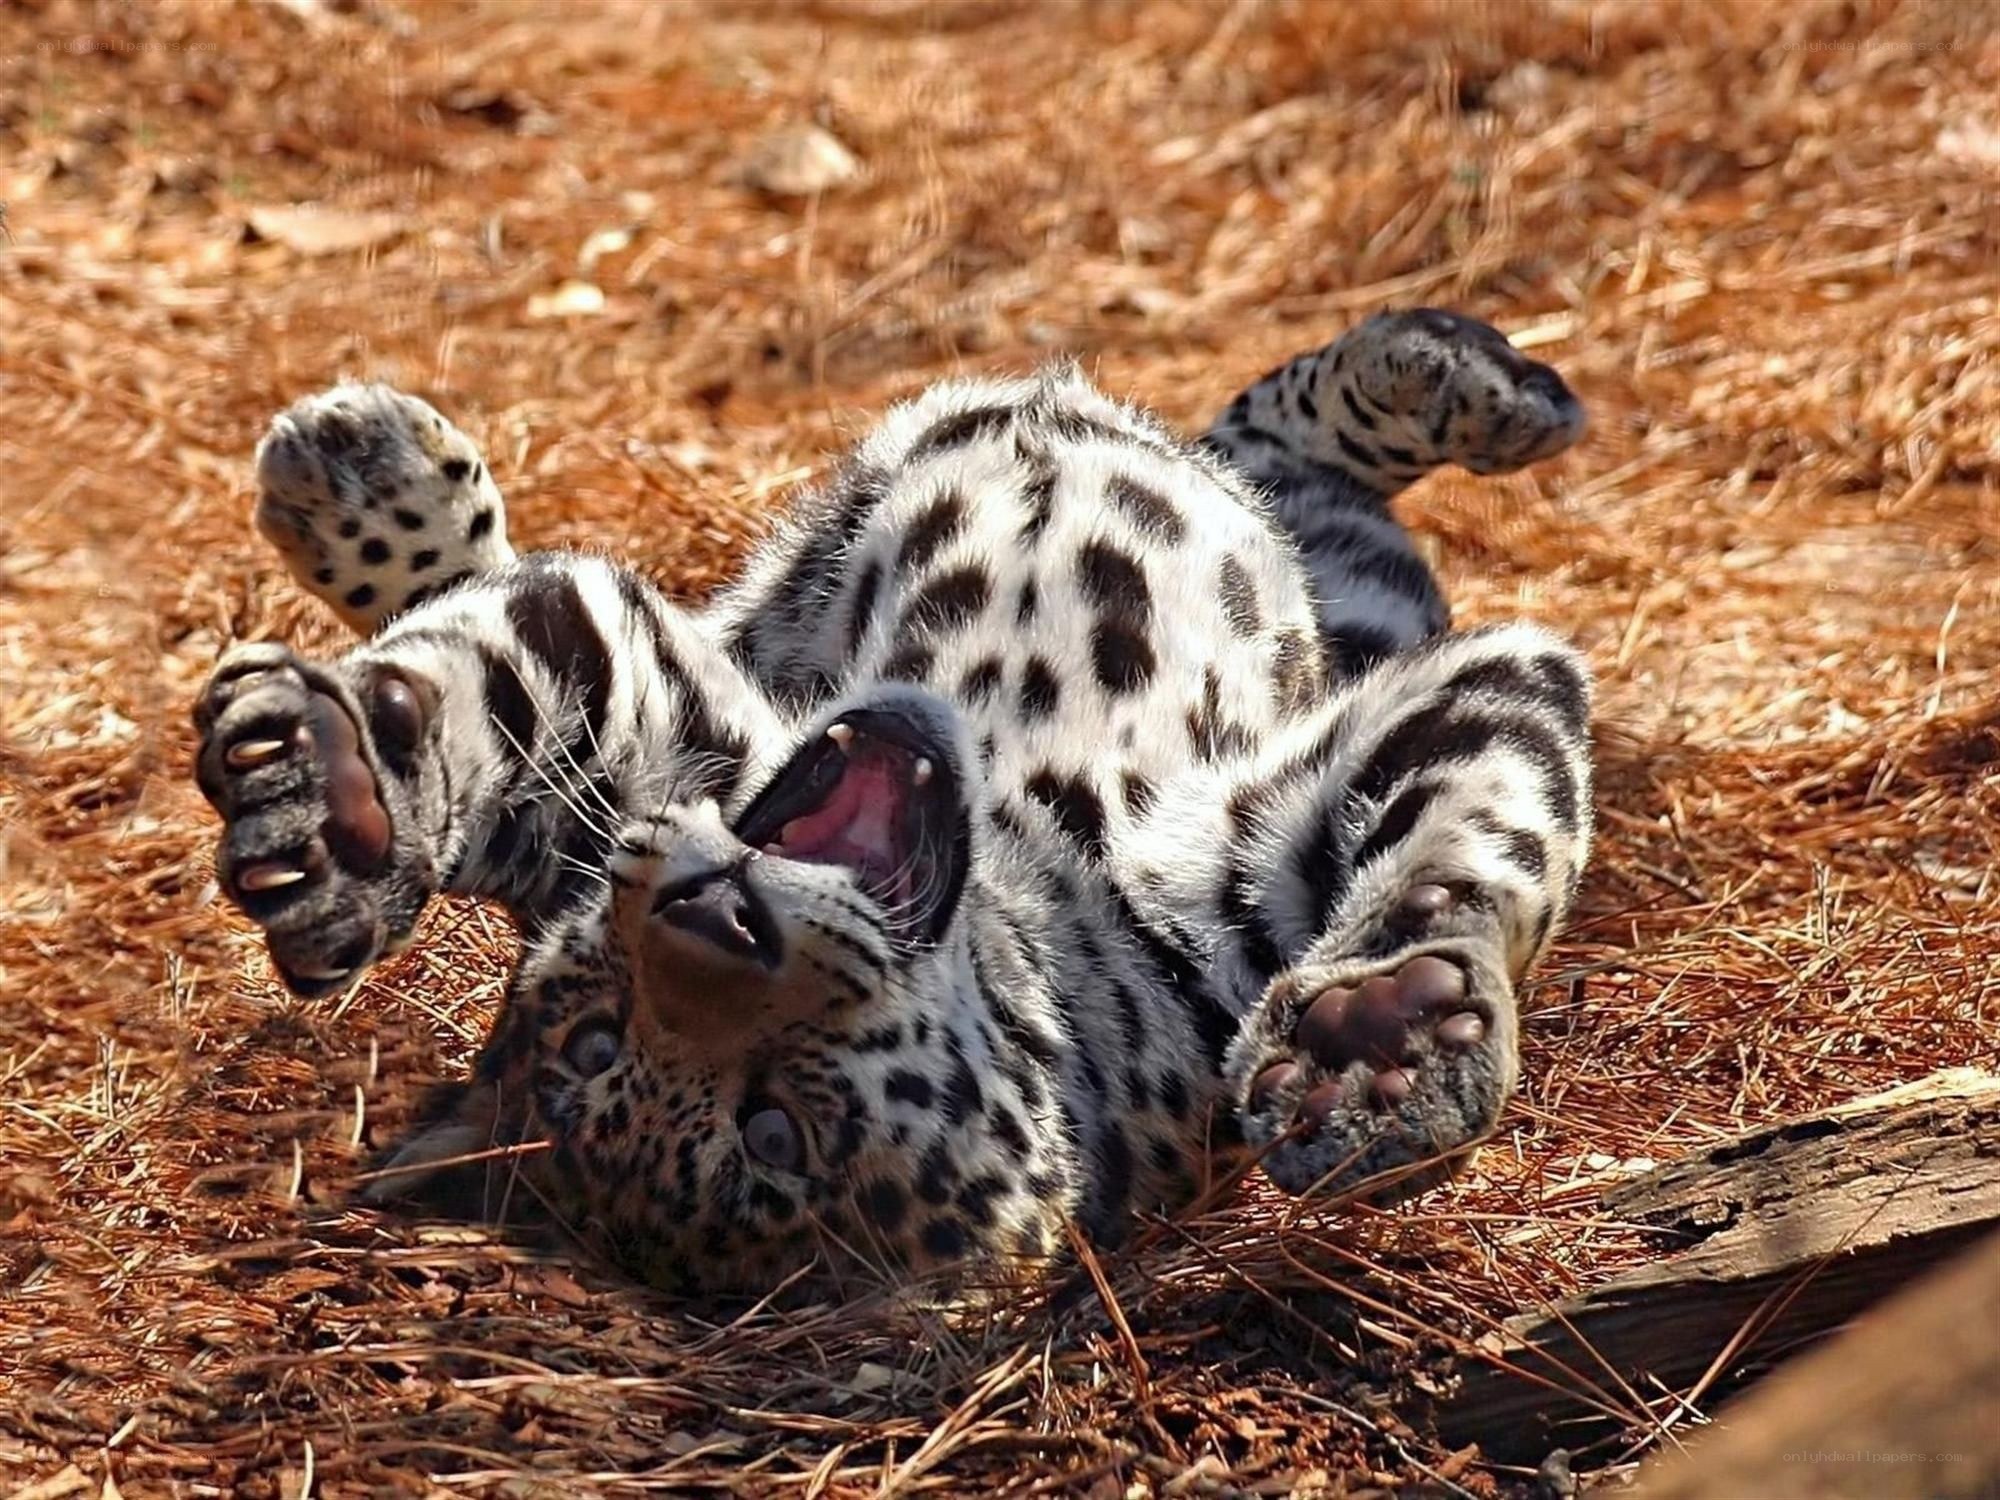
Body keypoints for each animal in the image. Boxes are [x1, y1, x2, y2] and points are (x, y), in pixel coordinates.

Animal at [193, 308, 1592, 1292]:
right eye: (602, 1035)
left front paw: (1385, 1040)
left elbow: (1488, 842)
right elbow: (506, 657)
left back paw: (1478, 380)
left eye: (778, 1127)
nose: (714, 919)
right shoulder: (645, 732)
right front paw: (343, 792)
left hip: (1339, 596)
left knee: (1267, 453)